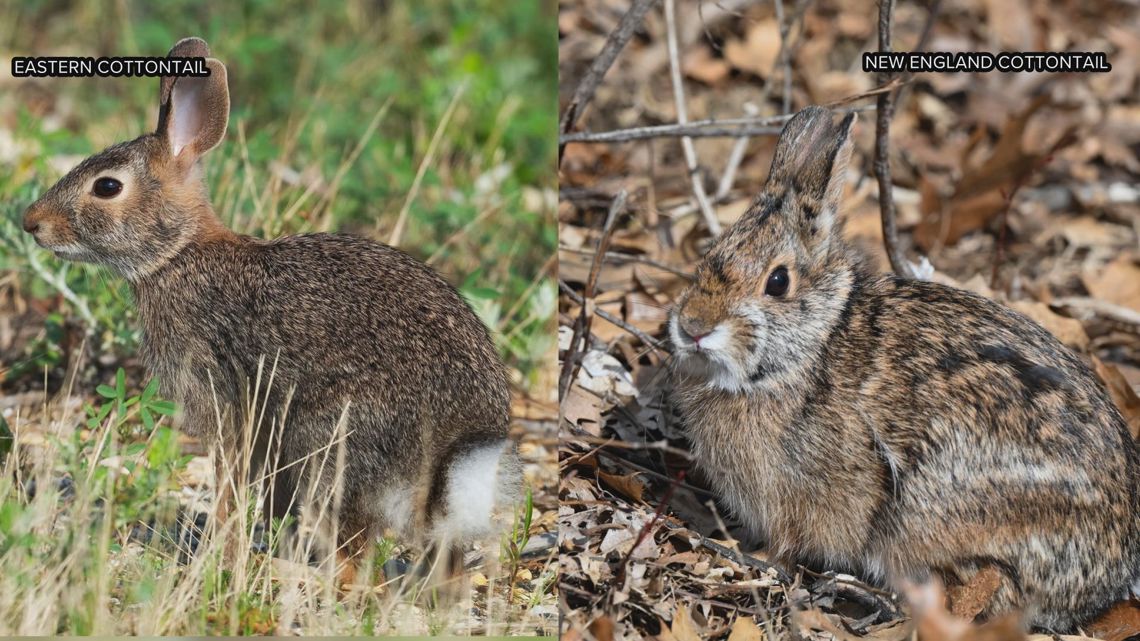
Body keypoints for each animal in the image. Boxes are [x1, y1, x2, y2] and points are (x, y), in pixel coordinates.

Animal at [21, 37, 522, 584]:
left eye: (107, 187)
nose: (30, 223)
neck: (176, 253)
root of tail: (449, 455)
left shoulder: (220, 396)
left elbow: (228, 479)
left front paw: (219, 554)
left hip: (328, 445)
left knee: (354, 565)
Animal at [668, 105, 1140, 632]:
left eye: (777, 281)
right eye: (710, 253)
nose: (692, 327)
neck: (812, 346)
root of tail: (1109, 577)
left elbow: (787, 545)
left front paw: (752, 556)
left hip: (935, 520)